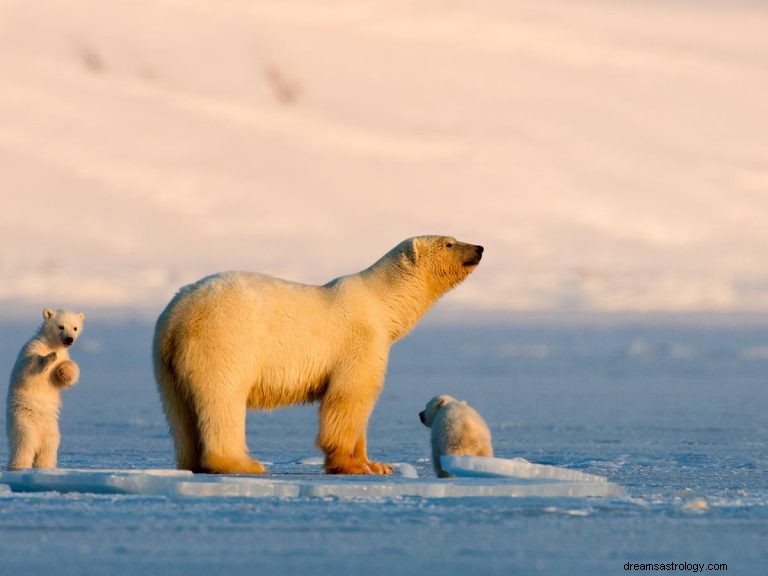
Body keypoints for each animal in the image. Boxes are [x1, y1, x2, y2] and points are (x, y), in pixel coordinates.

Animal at [6, 308, 84, 470]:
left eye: (75, 327)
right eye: (61, 326)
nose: (69, 339)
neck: (51, 344)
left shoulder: (64, 354)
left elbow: (60, 378)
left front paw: (64, 371)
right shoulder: (32, 347)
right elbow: (27, 367)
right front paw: (49, 357)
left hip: (51, 428)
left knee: (48, 447)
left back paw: (45, 467)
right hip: (23, 420)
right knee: (24, 444)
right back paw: (19, 467)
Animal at [153, 236, 484, 474]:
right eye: (449, 242)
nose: (480, 248)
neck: (381, 303)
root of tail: (178, 316)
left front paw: (378, 464)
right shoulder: (360, 341)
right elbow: (349, 398)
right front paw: (353, 466)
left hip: (166, 361)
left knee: (179, 412)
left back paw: (191, 462)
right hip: (224, 342)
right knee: (222, 399)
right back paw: (242, 463)